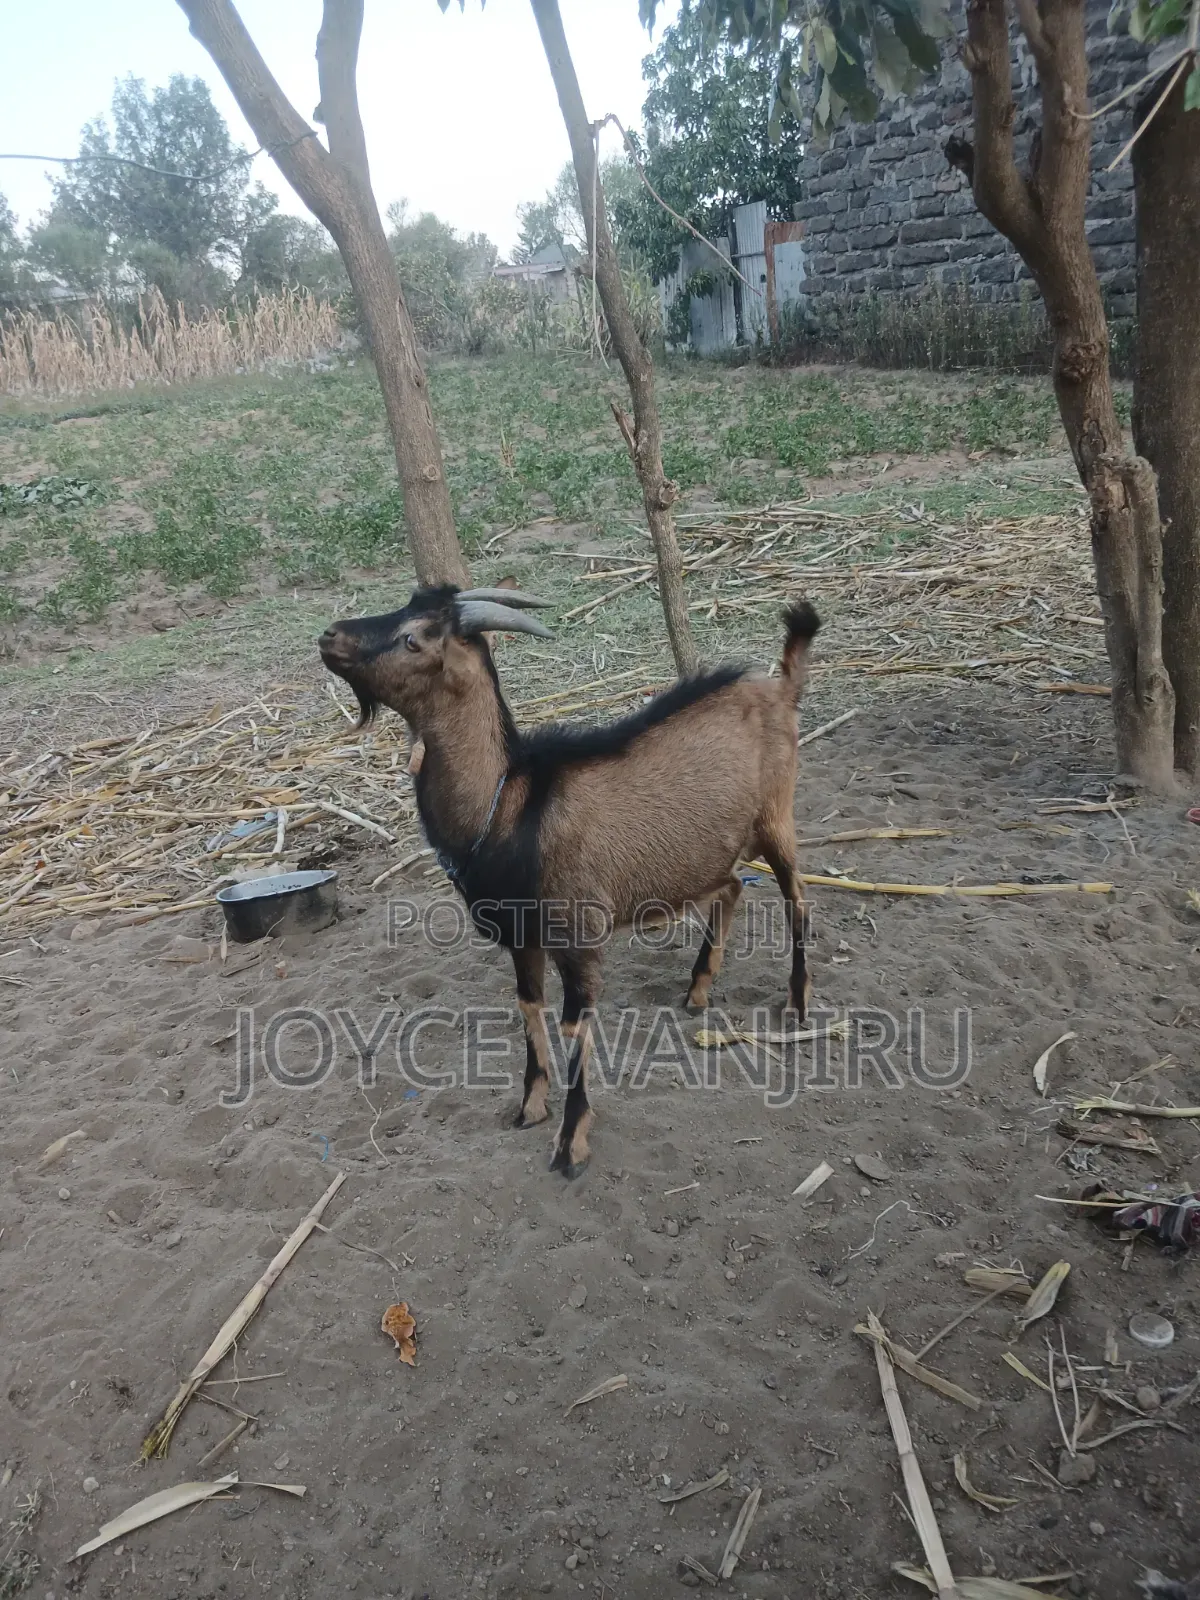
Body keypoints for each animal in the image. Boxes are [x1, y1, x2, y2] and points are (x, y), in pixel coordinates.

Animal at [319, 585, 820, 1178]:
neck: (509, 803)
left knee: (797, 900)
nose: (329, 635)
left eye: (412, 638)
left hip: (776, 818)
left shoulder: (579, 937)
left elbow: (573, 1028)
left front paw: (570, 1145)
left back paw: (797, 1003)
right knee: (734, 886)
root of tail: (780, 686)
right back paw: (697, 991)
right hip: (708, 852)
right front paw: (530, 1107)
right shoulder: (522, 937)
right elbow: (527, 1007)